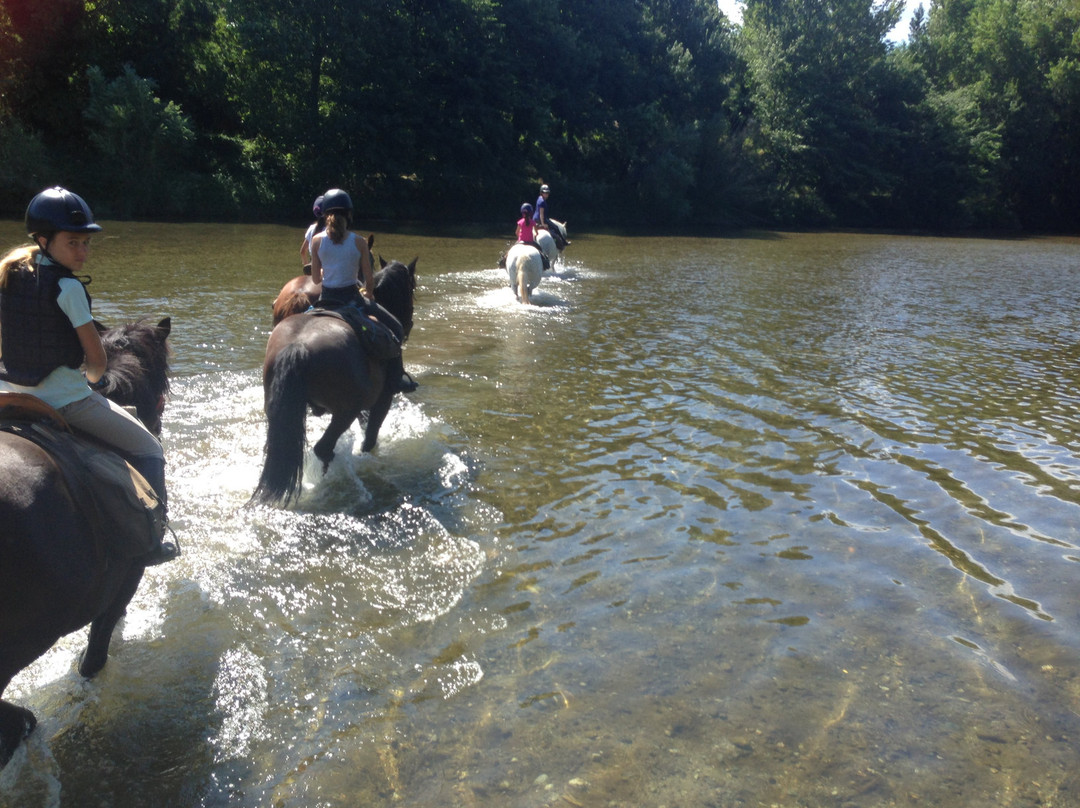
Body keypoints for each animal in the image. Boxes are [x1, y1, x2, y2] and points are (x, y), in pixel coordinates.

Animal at [252, 257, 416, 505]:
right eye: (412, 288)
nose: (409, 324)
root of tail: (297, 346)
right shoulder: (383, 399)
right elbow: (370, 436)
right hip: (344, 411)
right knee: (323, 448)